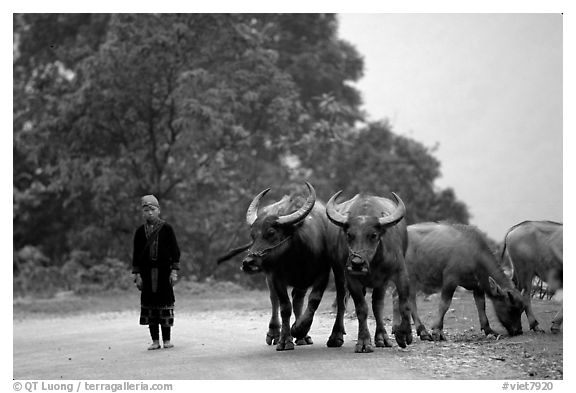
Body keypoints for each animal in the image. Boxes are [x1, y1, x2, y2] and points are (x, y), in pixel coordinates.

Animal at [217, 182, 346, 350]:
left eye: (271, 232)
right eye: (252, 236)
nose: (248, 262)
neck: (298, 257)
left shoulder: (323, 274)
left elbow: (313, 301)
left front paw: (299, 329)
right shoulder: (276, 276)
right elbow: (284, 307)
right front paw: (285, 339)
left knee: (298, 300)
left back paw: (303, 336)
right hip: (271, 277)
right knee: (274, 299)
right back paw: (273, 333)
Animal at [326, 191, 412, 352]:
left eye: (373, 235)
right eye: (349, 234)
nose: (357, 263)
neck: (372, 263)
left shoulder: (399, 272)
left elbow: (403, 303)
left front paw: (403, 334)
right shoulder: (351, 277)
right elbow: (361, 308)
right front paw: (364, 341)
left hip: (382, 282)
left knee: (377, 305)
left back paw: (382, 337)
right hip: (339, 273)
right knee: (341, 302)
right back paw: (336, 336)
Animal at [400, 220, 528, 340]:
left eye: (521, 310)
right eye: (511, 309)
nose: (519, 331)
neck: (473, 254)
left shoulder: (478, 286)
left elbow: (481, 306)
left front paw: (488, 330)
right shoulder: (450, 280)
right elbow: (444, 305)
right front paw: (437, 330)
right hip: (411, 277)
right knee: (411, 301)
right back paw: (423, 332)